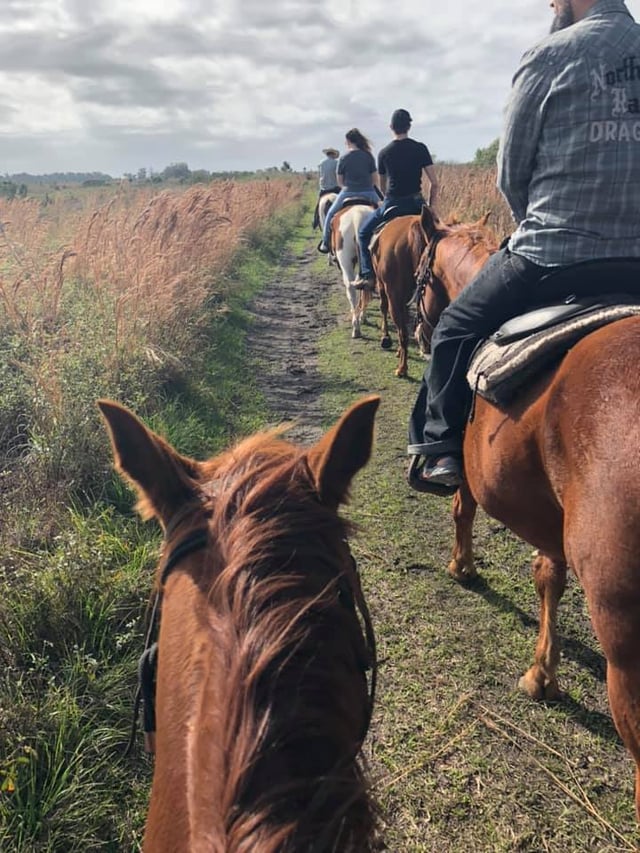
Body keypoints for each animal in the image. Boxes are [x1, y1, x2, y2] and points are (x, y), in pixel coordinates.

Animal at [330, 203, 376, 340]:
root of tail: (357, 218)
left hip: (346, 263)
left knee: (351, 288)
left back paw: (356, 326)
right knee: (364, 286)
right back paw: (359, 321)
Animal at [368, 213, 428, 376]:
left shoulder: (383, 286)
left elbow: (383, 307)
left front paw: (385, 338)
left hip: (393, 297)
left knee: (403, 333)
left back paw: (402, 368)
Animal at [412, 205, 640, 820]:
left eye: (420, 274)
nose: (418, 330)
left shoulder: (470, 473)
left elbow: (462, 510)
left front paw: (462, 567)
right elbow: (547, 577)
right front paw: (543, 674)